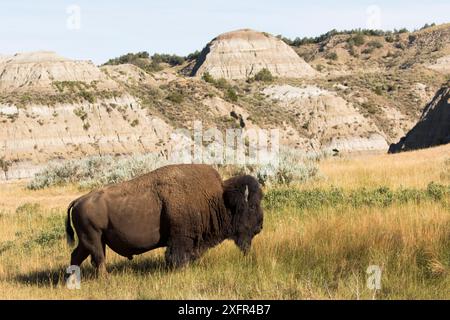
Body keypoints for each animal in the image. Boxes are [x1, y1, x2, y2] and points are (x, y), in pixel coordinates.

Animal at [67, 164, 264, 274]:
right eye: (252, 206)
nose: (260, 226)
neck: (218, 198)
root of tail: (78, 200)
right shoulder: (181, 239)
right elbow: (178, 257)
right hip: (94, 239)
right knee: (98, 259)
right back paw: (104, 279)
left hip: (89, 241)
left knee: (77, 256)